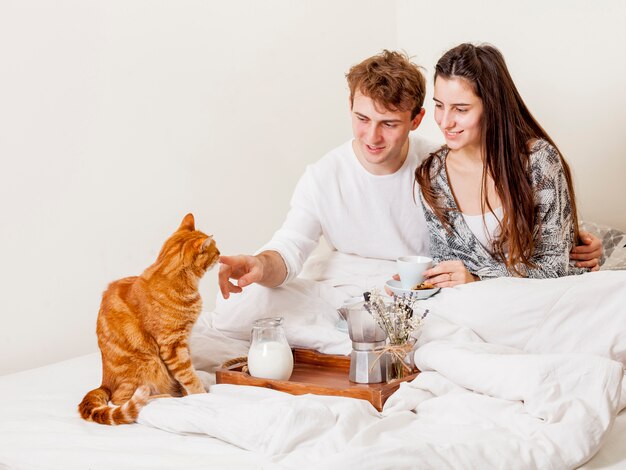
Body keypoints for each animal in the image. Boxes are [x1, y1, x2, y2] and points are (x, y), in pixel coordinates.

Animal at [78, 214, 219, 426]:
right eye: (215, 249)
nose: (220, 253)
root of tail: (104, 382)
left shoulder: (183, 341)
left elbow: (185, 372)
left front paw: (187, 390)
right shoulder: (172, 345)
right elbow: (188, 374)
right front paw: (200, 394)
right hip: (148, 362)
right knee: (119, 399)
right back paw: (163, 396)